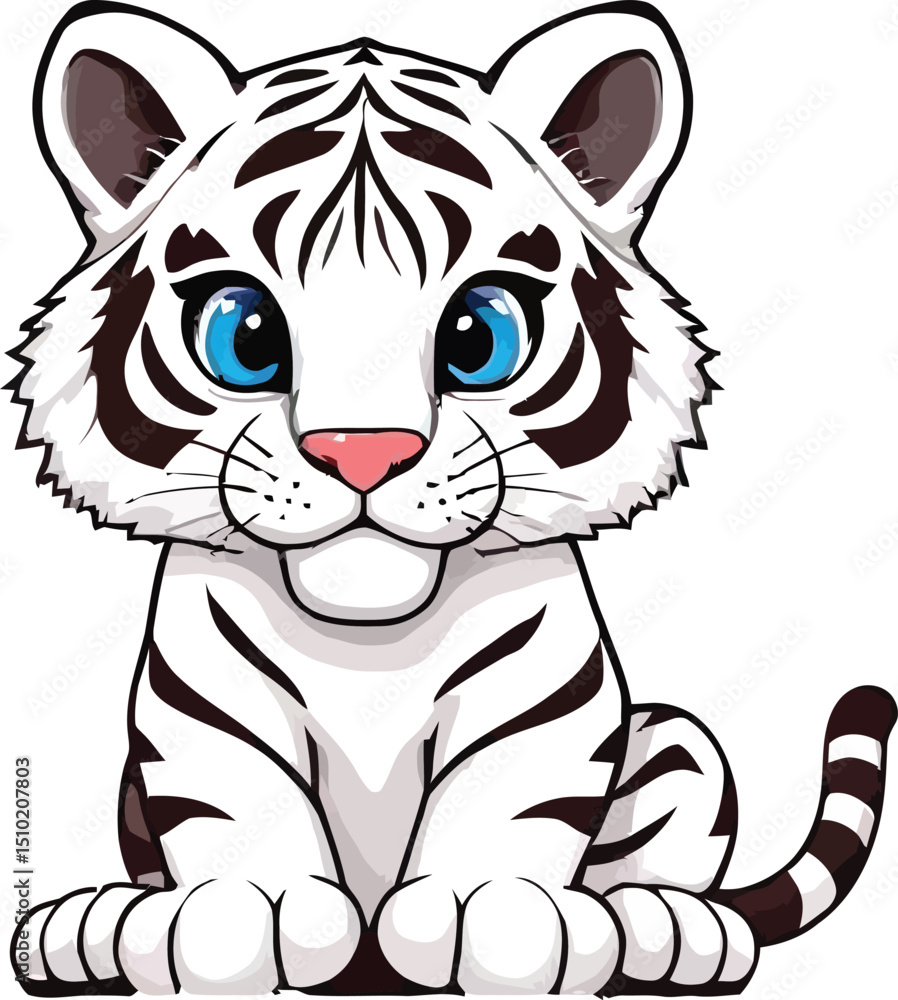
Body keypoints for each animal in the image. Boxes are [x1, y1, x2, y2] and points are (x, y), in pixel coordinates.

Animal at [8, 1, 895, 995]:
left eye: (480, 335)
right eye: (245, 335)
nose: (362, 452)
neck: (366, 643)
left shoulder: (541, 707)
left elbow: (510, 797)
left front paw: (493, 913)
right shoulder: (203, 712)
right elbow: (236, 800)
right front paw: (245, 911)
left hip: (674, 743)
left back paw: (667, 928)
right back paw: (89, 925)